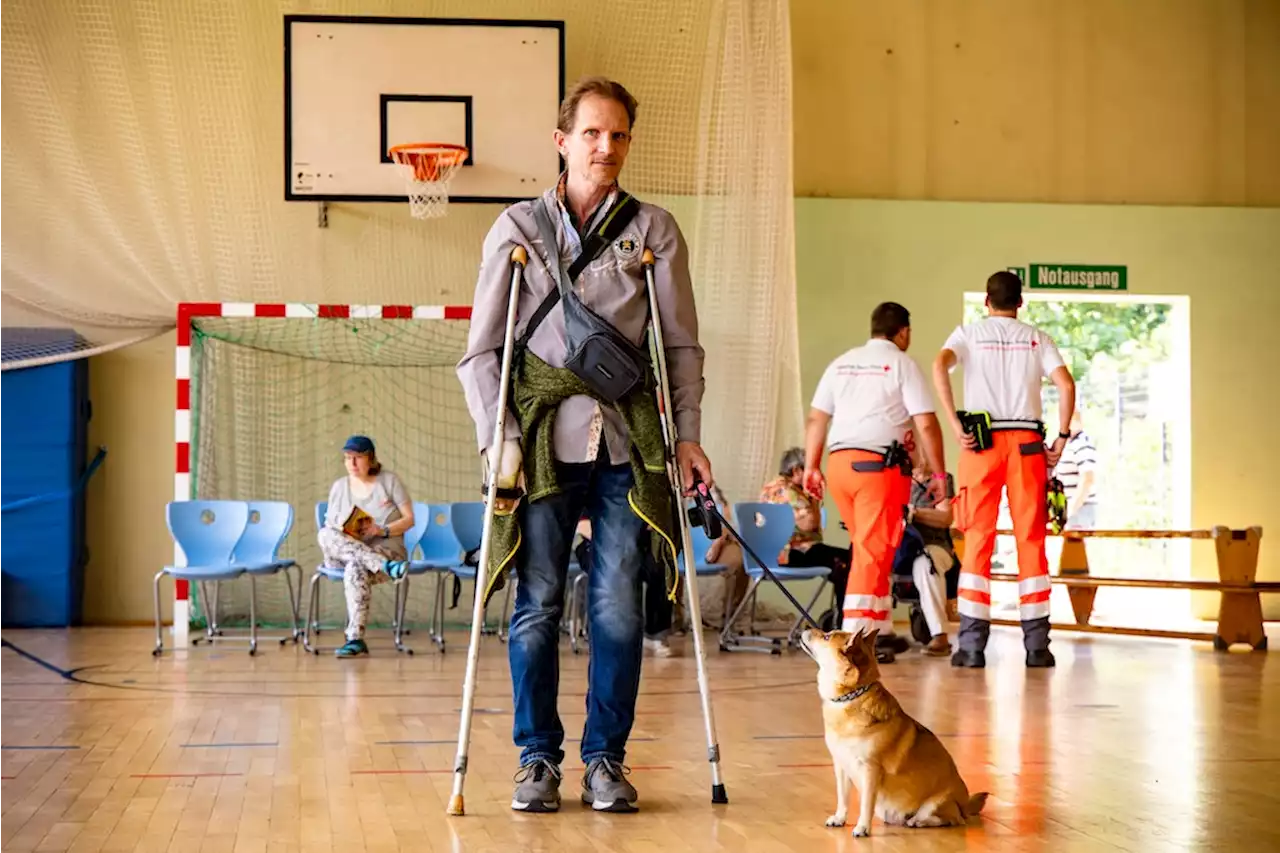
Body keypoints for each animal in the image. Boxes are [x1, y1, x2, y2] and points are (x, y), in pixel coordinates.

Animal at [798, 627, 988, 835]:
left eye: (826, 637)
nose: (805, 628)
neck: (851, 697)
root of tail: (965, 804)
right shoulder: (840, 765)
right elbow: (843, 798)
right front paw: (840, 818)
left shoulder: (870, 770)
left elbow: (866, 803)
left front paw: (862, 827)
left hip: (937, 804)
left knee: (952, 819)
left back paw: (919, 821)